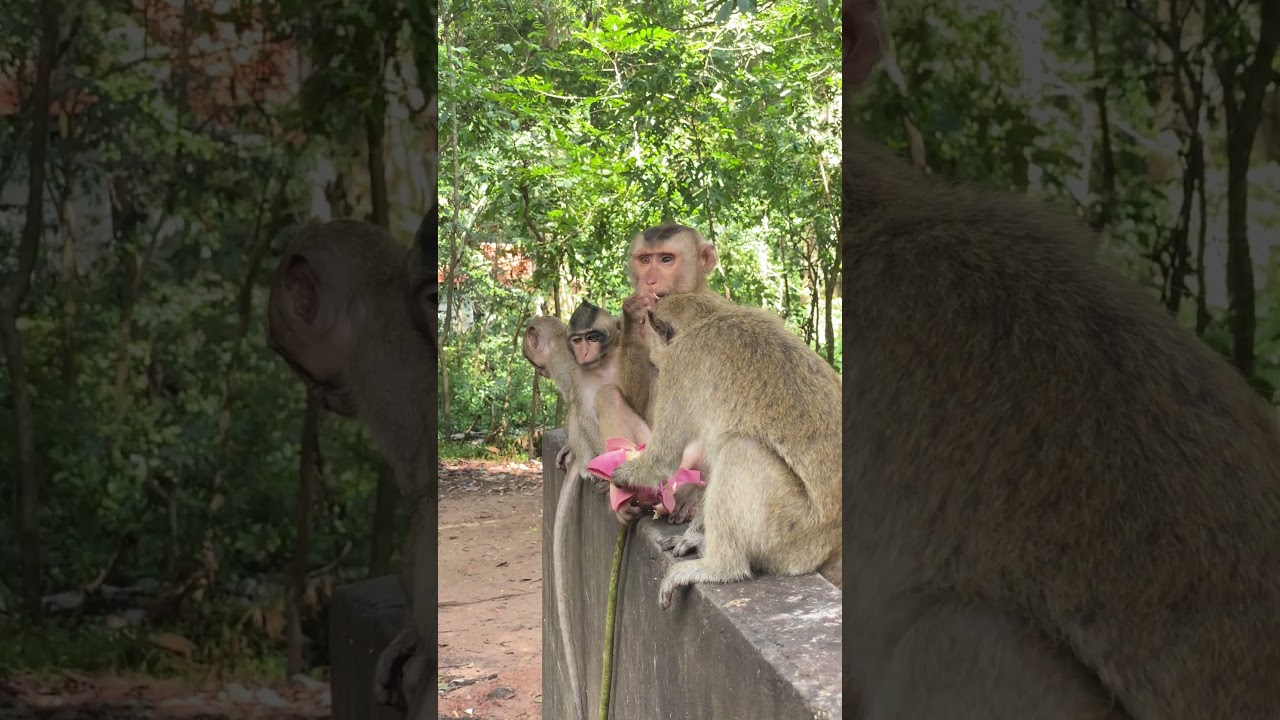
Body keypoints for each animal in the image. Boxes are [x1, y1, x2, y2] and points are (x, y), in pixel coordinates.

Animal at [610, 292, 842, 610]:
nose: (652, 358)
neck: (710, 317)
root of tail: (830, 544)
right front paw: (694, 531)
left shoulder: (680, 367)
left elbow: (664, 458)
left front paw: (624, 475)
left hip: (793, 535)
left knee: (739, 451)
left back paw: (720, 568)